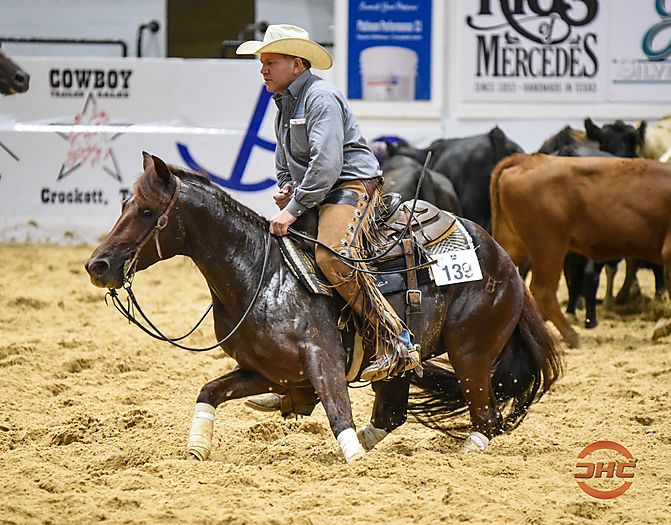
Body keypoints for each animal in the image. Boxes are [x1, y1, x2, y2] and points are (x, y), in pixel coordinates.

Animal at [85, 153, 562, 463]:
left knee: (486, 417)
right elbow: (209, 391)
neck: (258, 272)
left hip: (471, 352)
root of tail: (503, 259)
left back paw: (467, 451)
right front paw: (197, 448)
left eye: (148, 211)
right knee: (393, 414)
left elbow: (338, 413)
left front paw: (352, 460)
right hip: (397, 368)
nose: (98, 265)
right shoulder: (266, 370)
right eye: (124, 204)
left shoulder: (323, 358)